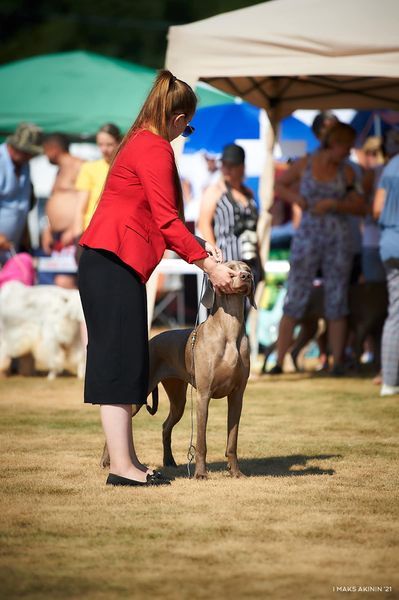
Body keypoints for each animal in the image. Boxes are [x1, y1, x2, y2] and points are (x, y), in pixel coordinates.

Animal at [101, 260, 256, 480]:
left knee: (165, 426)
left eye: (247, 269)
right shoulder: (203, 395)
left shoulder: (237, 396)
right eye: (230, 269)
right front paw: (200, 474)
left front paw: (235, 472)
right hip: (140, 397)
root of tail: (152, 341)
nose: (246, 277)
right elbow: (201, 443)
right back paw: (107, 462)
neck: (229, 330)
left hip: (178, 399)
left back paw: (169, 461)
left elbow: (232, 442)